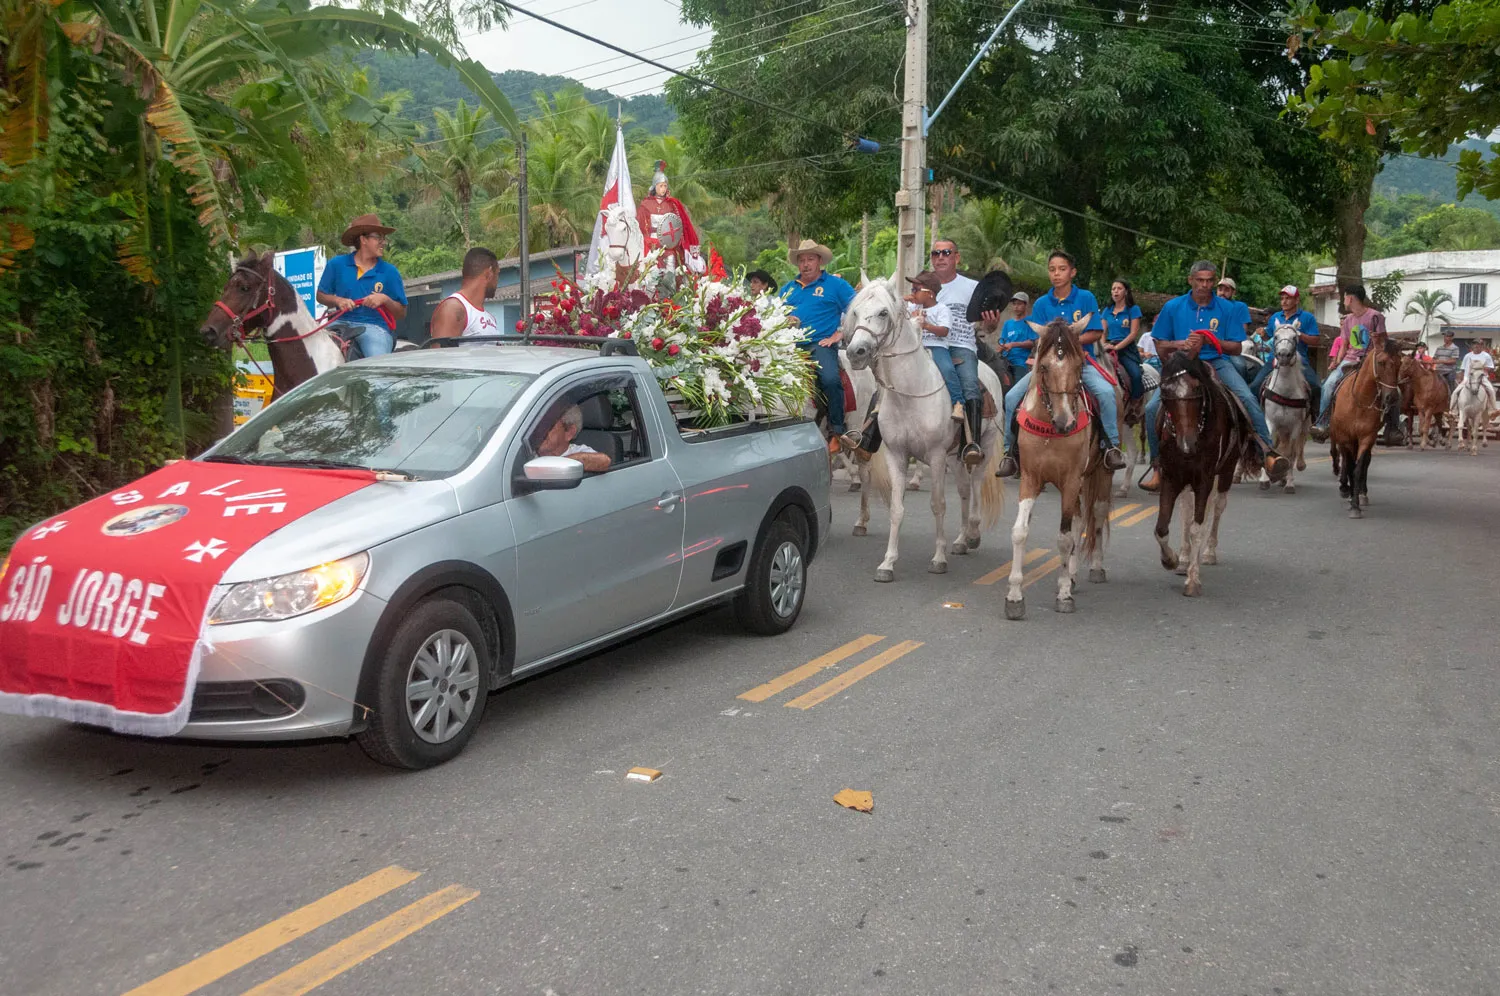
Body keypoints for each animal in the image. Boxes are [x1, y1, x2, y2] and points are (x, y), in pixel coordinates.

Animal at [846, 276, 1008, 579]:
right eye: (856, 312)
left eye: (883, 313)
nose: (855, 352)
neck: (910, 393)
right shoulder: (896, 454)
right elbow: (897, 509)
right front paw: (887, 563)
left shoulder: (935, 456)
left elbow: (938, 504)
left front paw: (938, 559)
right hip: (955, 457)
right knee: (964, 490)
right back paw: (961, 540)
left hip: (984, 446)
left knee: (976, 484)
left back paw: (972, 534)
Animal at [1002, 315, 1122, 618]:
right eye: (1043, 367)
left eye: (1079, 365)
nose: (1065, 422)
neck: (1050, 430)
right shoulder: (1030, 478)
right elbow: (1019, 532)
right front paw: (1014, 597)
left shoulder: (1070, 480)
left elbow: (1065, 538)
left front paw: (1064, 594)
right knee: (1080, 518)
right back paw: (1074, 574)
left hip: (1100, 473)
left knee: (1096, 515)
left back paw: (1094, 568)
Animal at [1152, 352, 1260, 600]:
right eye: (1165, 393)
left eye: (1197, 389)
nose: (1187, 444)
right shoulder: (1171, 477)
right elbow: (1162, 528)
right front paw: (1171, 559)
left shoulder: (1204, 479)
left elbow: (1197, 527)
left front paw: (1193, 580)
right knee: (1186, 511)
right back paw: (1184, 557)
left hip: (1225, 472)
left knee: (1217, 507)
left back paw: (1209, 552)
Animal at [1254, 327, 1314, 495]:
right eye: (1275, 336)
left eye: (1294, 337)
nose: (1283, 355)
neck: (1284, 392)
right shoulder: (1270, 422)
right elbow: (1269, 446)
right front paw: (1265, 480)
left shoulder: (1295, 426)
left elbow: (1291, 453)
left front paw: (1289, 483)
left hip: (1304, 426)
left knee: (1298, 447)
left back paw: (1296, 468)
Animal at [1332, 336, 1398, 516]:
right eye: (1381, 362)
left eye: (1400, 363)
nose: (1392, 397)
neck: (1359, 401)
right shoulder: (1345, 437)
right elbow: (1350, 466)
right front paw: (1349, 495)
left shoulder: (1367, 437)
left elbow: (1359, 467)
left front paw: (1356, 504)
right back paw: (1346, 488)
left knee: (1365, 462)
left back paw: (1362, 493)